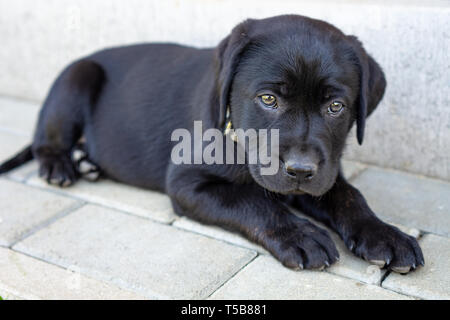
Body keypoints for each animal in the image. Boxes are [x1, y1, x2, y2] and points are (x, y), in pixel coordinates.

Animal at [0, 15, 422, 274]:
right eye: (268, 99)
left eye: (336, 107)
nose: (300, 170)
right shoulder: (188, 184)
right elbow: (254, 202)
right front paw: (300, 235)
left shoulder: (325, 171)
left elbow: (350, 197)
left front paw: (385, 234)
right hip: (77, 76)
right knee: (46, 141)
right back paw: (61, 166)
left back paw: (88, 162)